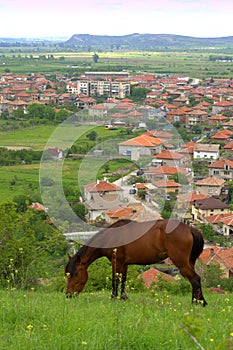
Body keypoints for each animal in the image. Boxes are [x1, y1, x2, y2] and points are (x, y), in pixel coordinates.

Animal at [64, 219, 208, 306]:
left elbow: (115, 280)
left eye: (74, 274)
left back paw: (199, 302)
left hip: (181, 263)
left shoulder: (116, 262)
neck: (111, 237)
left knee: (195, 278)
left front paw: (113, 298)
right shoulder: (124, 264)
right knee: (194, 280)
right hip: (189, 262)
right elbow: (123, 280)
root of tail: (190, 229)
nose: (68, 295)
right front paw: (123, 298)